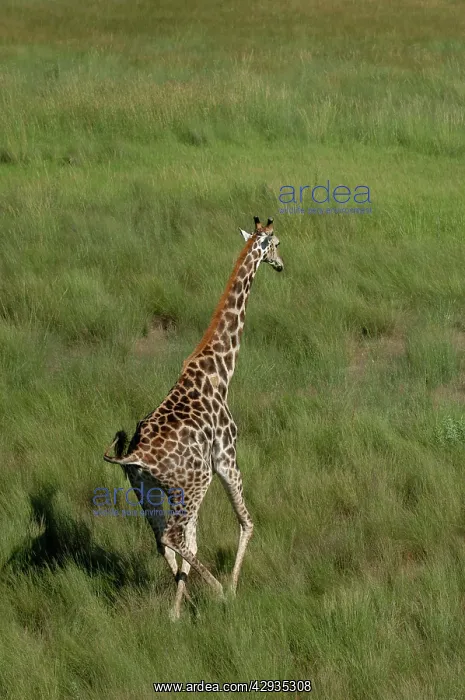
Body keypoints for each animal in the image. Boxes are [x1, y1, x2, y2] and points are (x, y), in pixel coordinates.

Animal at [103, 216, 283, 619]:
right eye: (278, 242)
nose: (281, 265)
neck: (220, 370)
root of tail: (135, 456)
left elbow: (194, 543)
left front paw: (181, 607)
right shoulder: (226, 457)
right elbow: (247, 521)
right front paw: (232, 589)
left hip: (149, 490)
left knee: (162, 539)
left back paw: (176, 611)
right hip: (194, 482)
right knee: (173, 535)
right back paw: (216, 590)